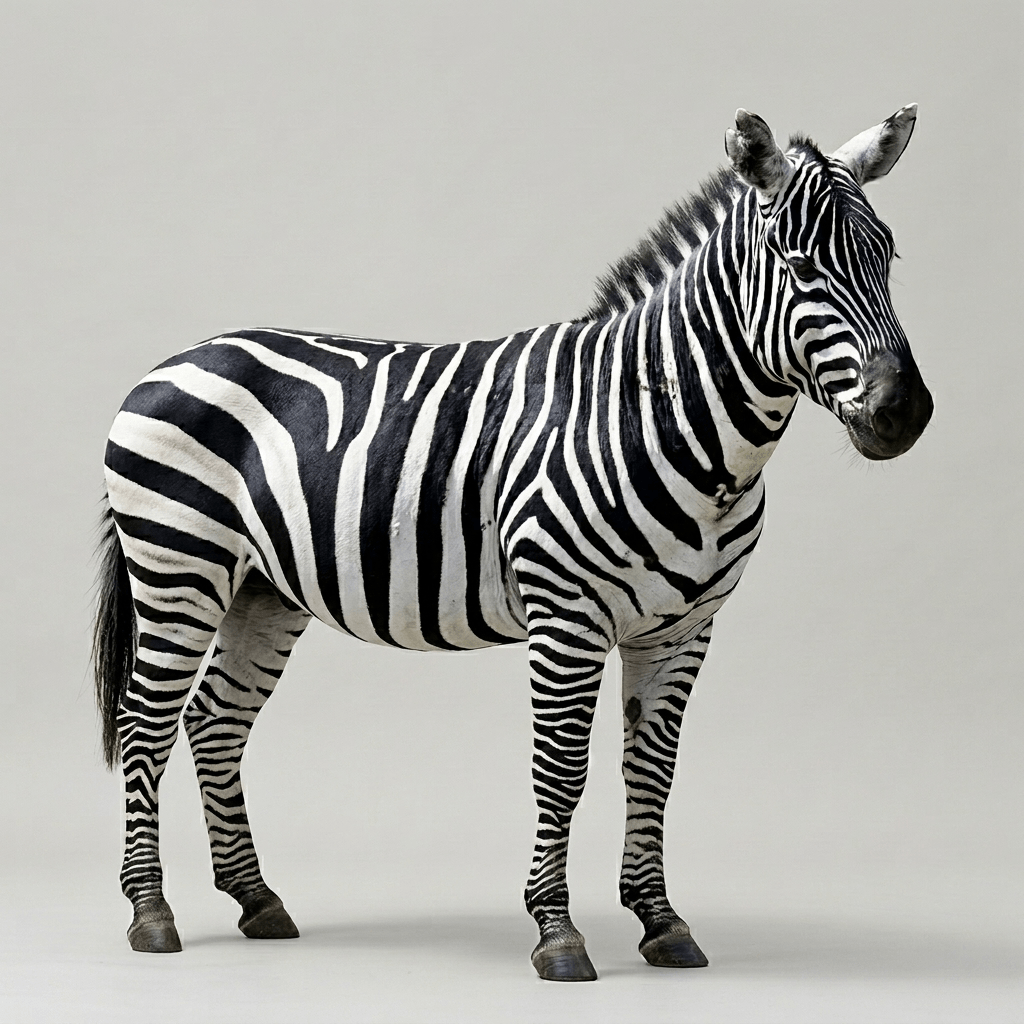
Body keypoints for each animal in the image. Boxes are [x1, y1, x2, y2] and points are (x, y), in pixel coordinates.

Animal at [93, 105, 932, 982]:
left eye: (887, 255)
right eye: (799, 266)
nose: (904, 412)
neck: (668, 422)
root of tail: (178, 358)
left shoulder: (684, 629)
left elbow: (652, 771)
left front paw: (661, 921)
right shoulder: (567, 616)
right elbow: (561, 770)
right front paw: (557, 933)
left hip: (262, 589)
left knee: (215, 719)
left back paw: (257, 899)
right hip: (178, 567)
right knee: (144, 723)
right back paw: (151, 912)